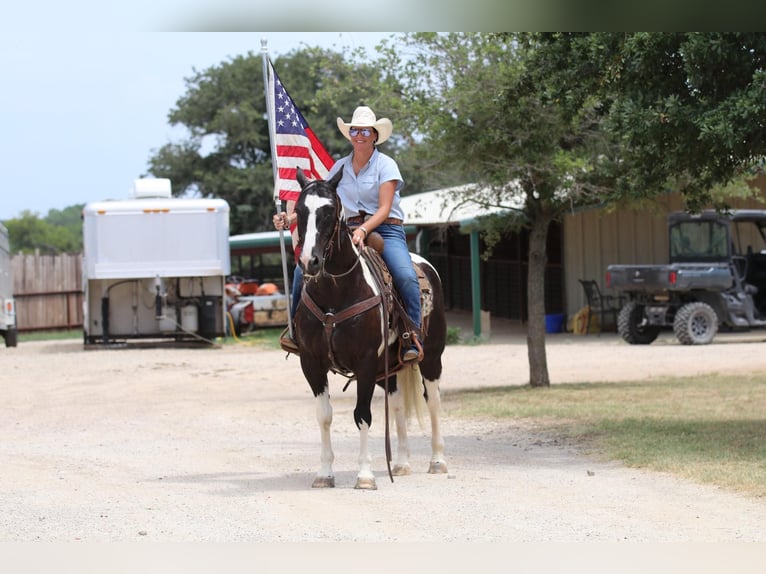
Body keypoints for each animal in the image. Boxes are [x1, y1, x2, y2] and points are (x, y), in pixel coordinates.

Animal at [294, 166, 450, 490]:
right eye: (299, 210)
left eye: (329, 211)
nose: (309, 261)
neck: (336, 292)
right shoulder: (311, 362)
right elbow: (324, 416)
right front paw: (324, 473)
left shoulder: (364, 361)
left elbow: (362, 415)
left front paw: (365, 475)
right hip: (388, 368)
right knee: (398, 403)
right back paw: (401, 463)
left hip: (431, 357)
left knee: (433, 401)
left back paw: (437, 461)